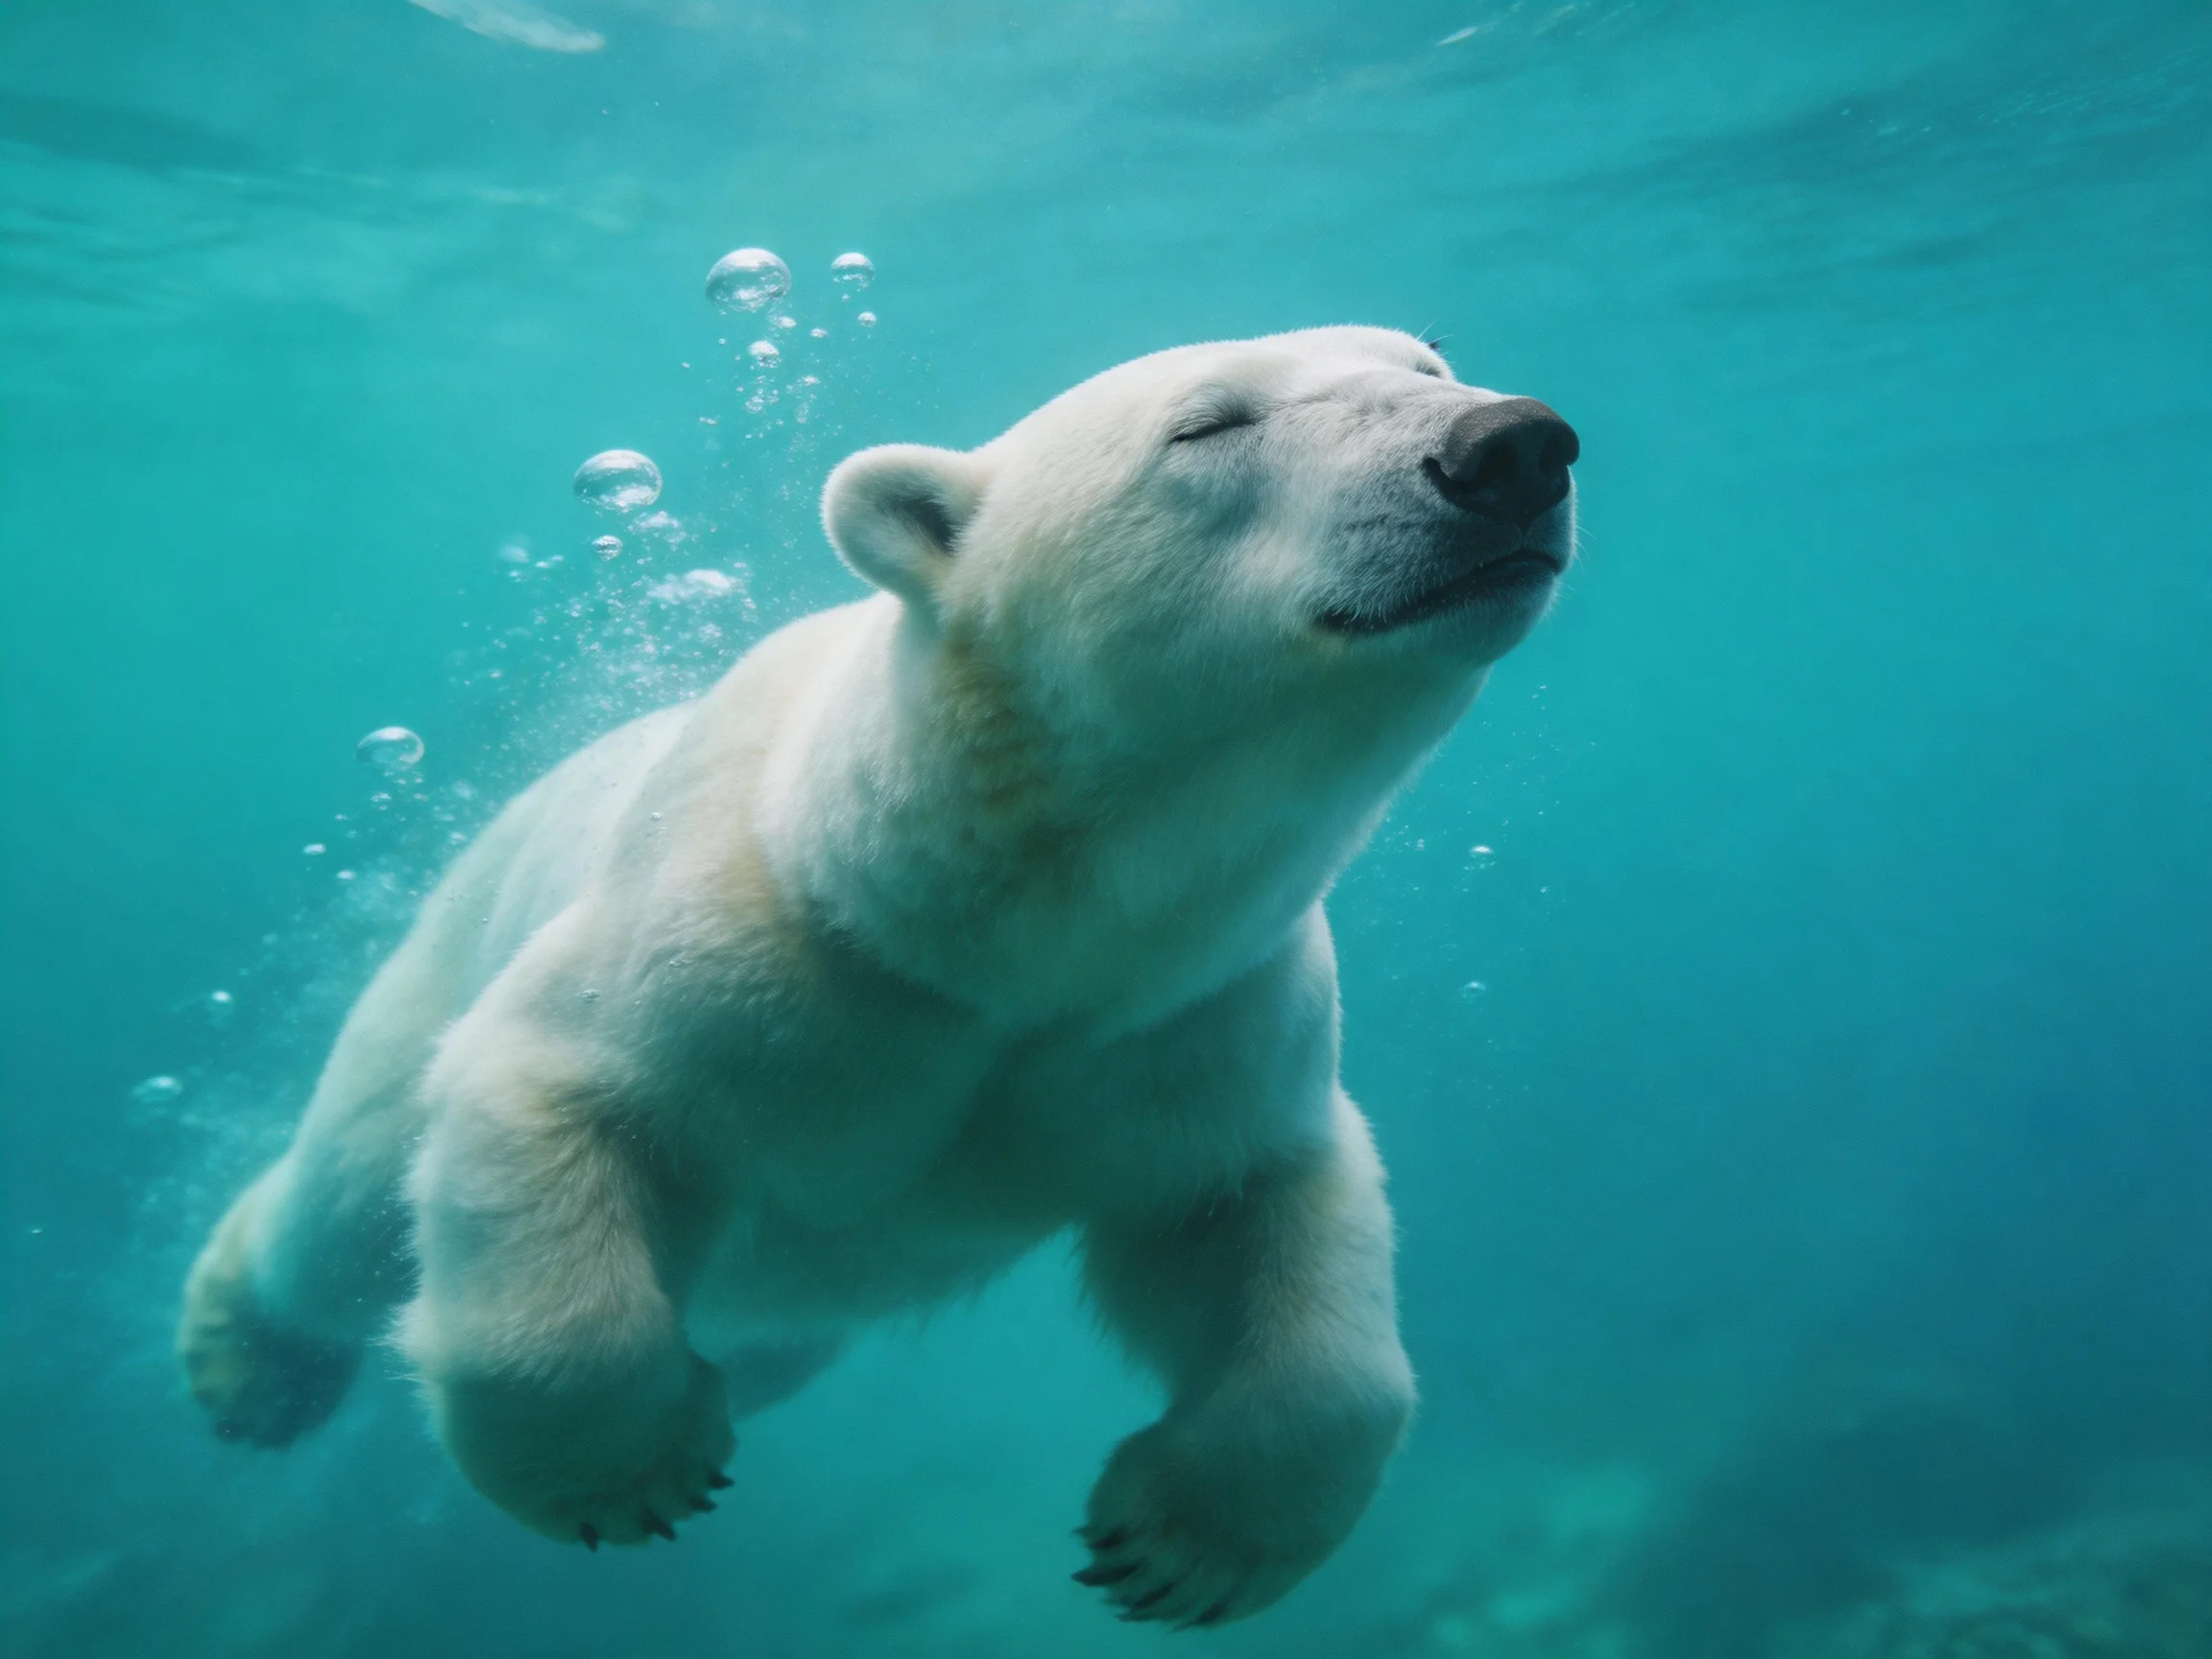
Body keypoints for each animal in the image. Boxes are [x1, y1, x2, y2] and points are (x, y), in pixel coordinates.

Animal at [177, 325, 1578, 1627]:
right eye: (1209, 425)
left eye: (1426, 362)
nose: (1509, 446)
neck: (980, 927)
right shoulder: (749, 951)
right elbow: (548, 1094)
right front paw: (628, 1470)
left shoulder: (1182, 1030)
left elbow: (1268, 1219)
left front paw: (1183, 1546)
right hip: (444, 947)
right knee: (349, 1203)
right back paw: (249, 1360)